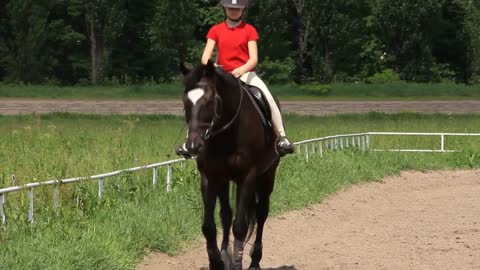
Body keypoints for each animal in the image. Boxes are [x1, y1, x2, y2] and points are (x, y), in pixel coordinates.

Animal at [181, 60, 282, 268]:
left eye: (210, 101)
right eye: (185, 102)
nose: (193, 145)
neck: (226, 135)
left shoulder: (248, 178)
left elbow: (241, 226)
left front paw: (237, 263)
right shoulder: (210, 177)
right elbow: (209, 226)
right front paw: (217, 262)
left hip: (267, 175)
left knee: (261, 213)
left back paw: (254, 261)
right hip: (225, 180)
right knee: (226, 215)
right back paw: (225, 254)